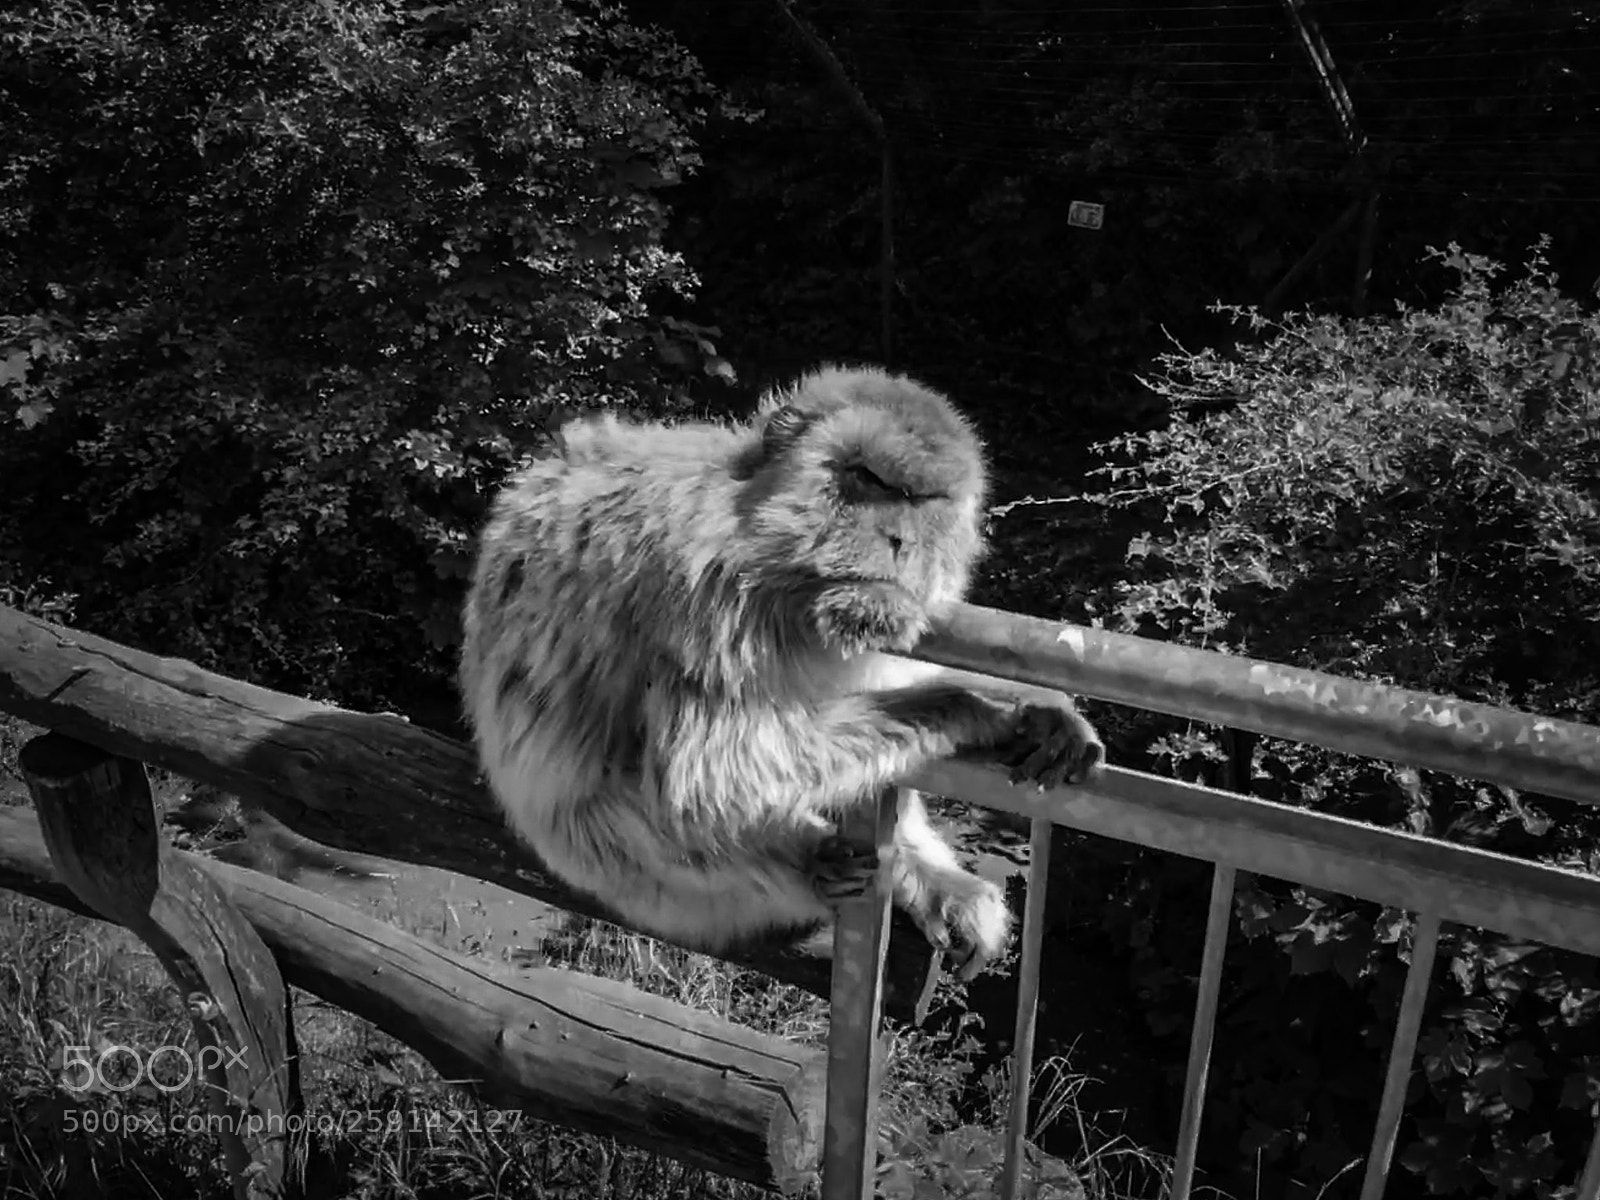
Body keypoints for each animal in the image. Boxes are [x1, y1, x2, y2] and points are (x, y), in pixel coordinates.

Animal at [457, 364, 1105, 980]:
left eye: (924, 501)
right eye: (867, 479)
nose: (899, 539)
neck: (781, 572)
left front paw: (1040, 707)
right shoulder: (706, 593)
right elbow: (709, 774)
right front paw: (976, 706)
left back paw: (923, 876)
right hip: (616, 865)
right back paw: (821, 864)